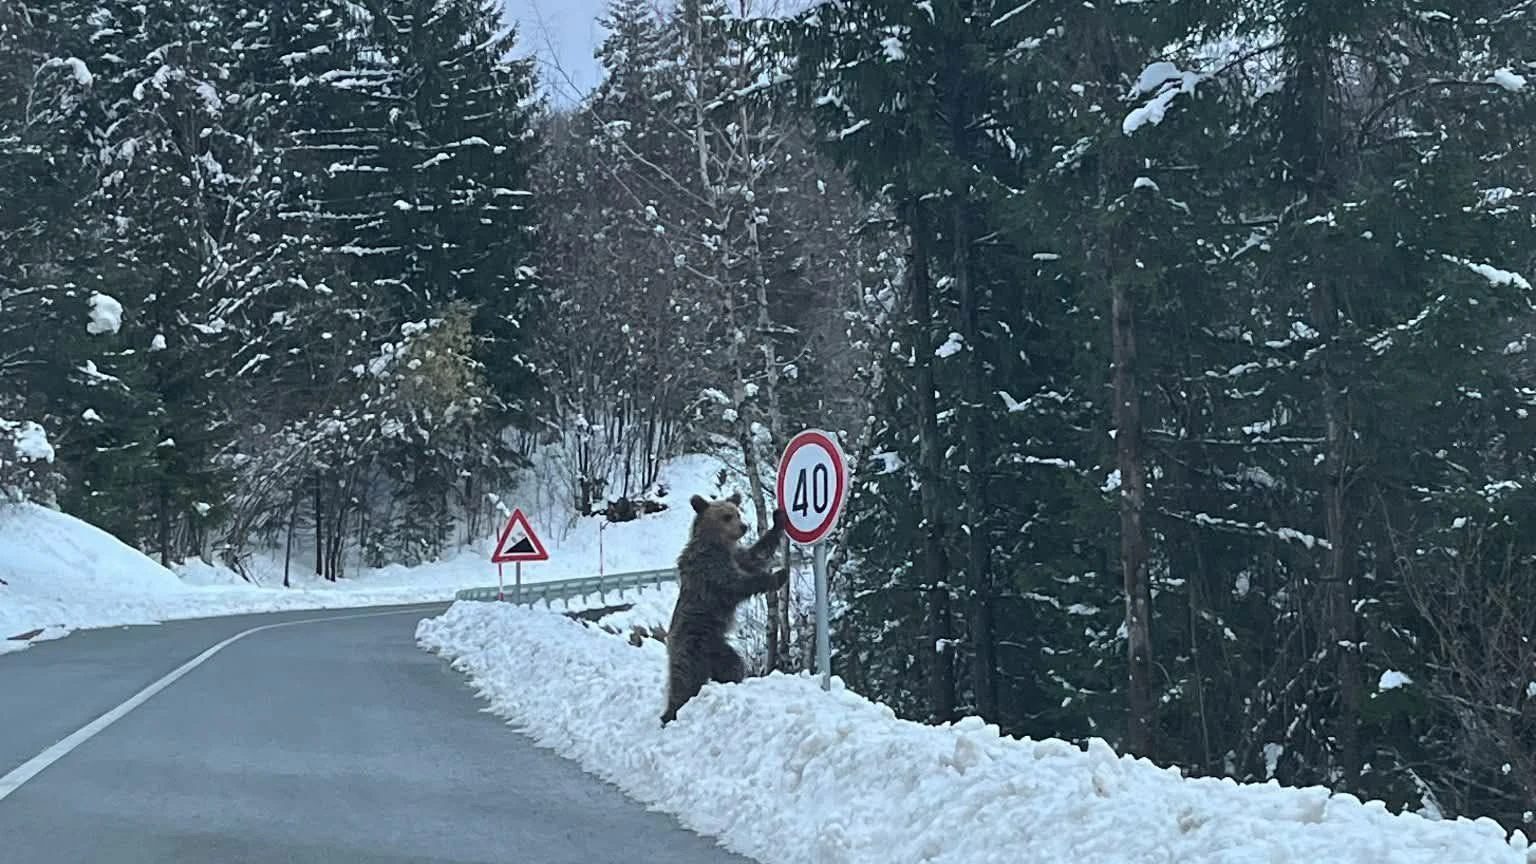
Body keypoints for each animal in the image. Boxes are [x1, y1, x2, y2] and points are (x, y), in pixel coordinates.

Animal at [660, 491, 789, 726]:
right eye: (727, 516)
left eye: (737, 513)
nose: (744, 526)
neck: (716, 544)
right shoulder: (710, 570)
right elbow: (738, 584)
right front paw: (777, 575)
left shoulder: (736, 557)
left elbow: (755, 554)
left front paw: (778, 520)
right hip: (693, 645)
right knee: (685, 682)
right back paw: (671, 713)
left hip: (717, 648)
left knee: (733, 665)